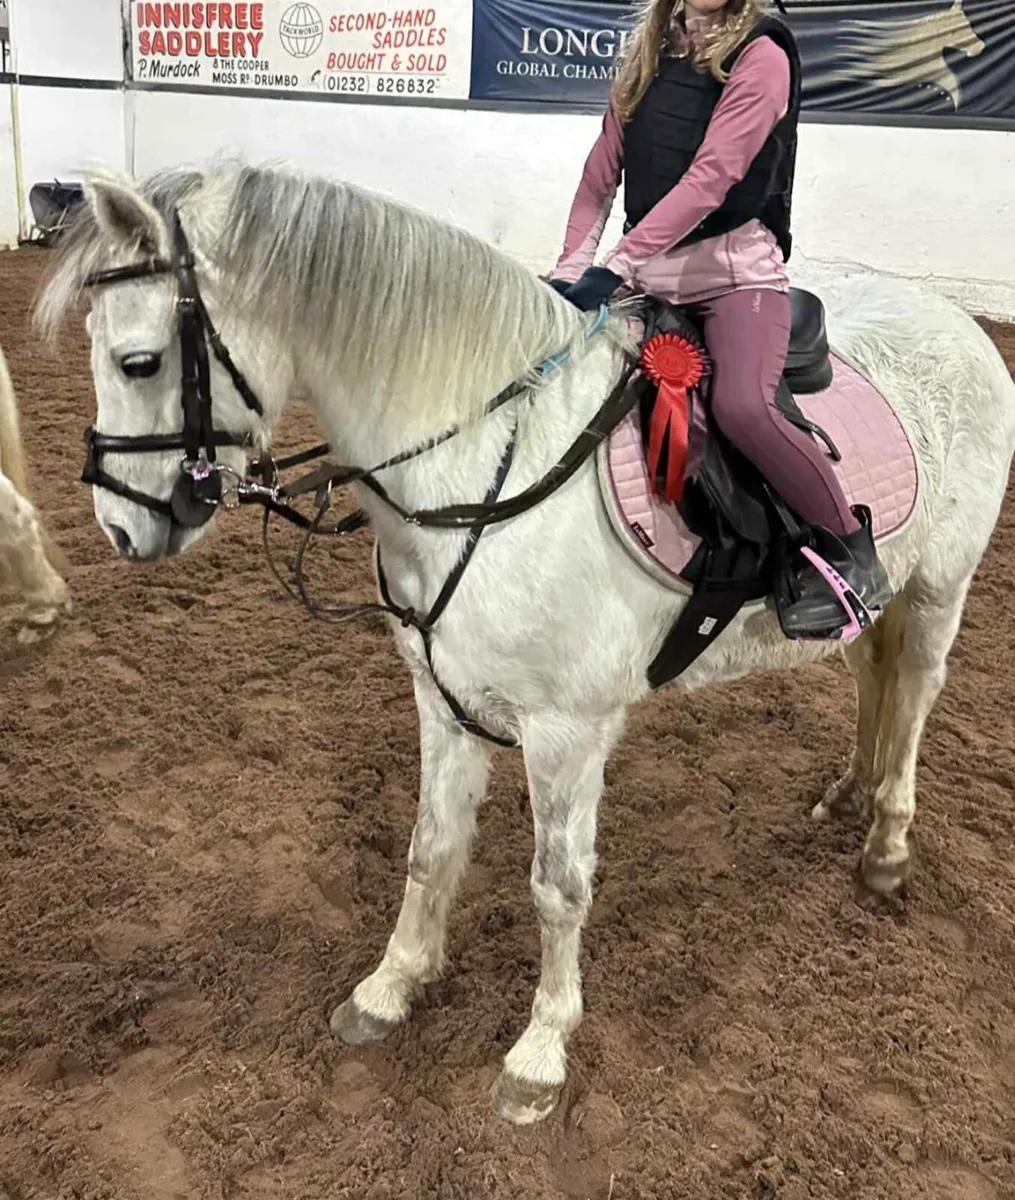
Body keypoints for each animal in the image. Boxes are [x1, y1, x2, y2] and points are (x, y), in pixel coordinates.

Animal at [35, 159, 1015, 1125]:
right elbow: (431, 847)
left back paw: (885, 845)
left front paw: (539, 1053)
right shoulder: (441, 702)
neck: (478, 469)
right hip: (873, 599)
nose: (122, 528)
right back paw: (850, 792)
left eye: (138, 360)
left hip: (938, 588)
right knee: (869, 678)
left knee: (914, 694)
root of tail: (955, 323)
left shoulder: (566, 733)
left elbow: (557, 885)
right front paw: (390, 987)